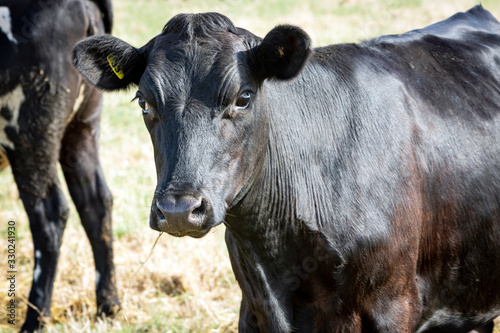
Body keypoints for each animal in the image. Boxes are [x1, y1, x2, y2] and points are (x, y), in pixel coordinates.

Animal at [0, 0, 120, 330]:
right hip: (82, 126)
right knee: (96, 202)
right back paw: (108, 306)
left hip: (29, 131)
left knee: (50, 215)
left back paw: (35, 318)